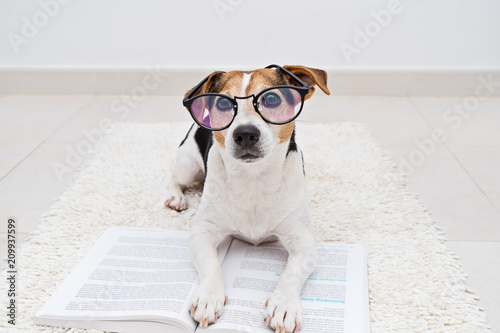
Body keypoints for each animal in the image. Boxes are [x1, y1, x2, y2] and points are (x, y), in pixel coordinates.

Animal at [165, 63, 328, 330]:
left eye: (271, 99)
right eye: (222, 104)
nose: (245, 133)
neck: (253, 179)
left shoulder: (304, 242)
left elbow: (291, 272)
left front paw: (284, 305)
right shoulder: (202, 234)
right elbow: (211, 263)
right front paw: (209, 296)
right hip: (187, 163)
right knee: (174, 178)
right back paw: (176, 198)